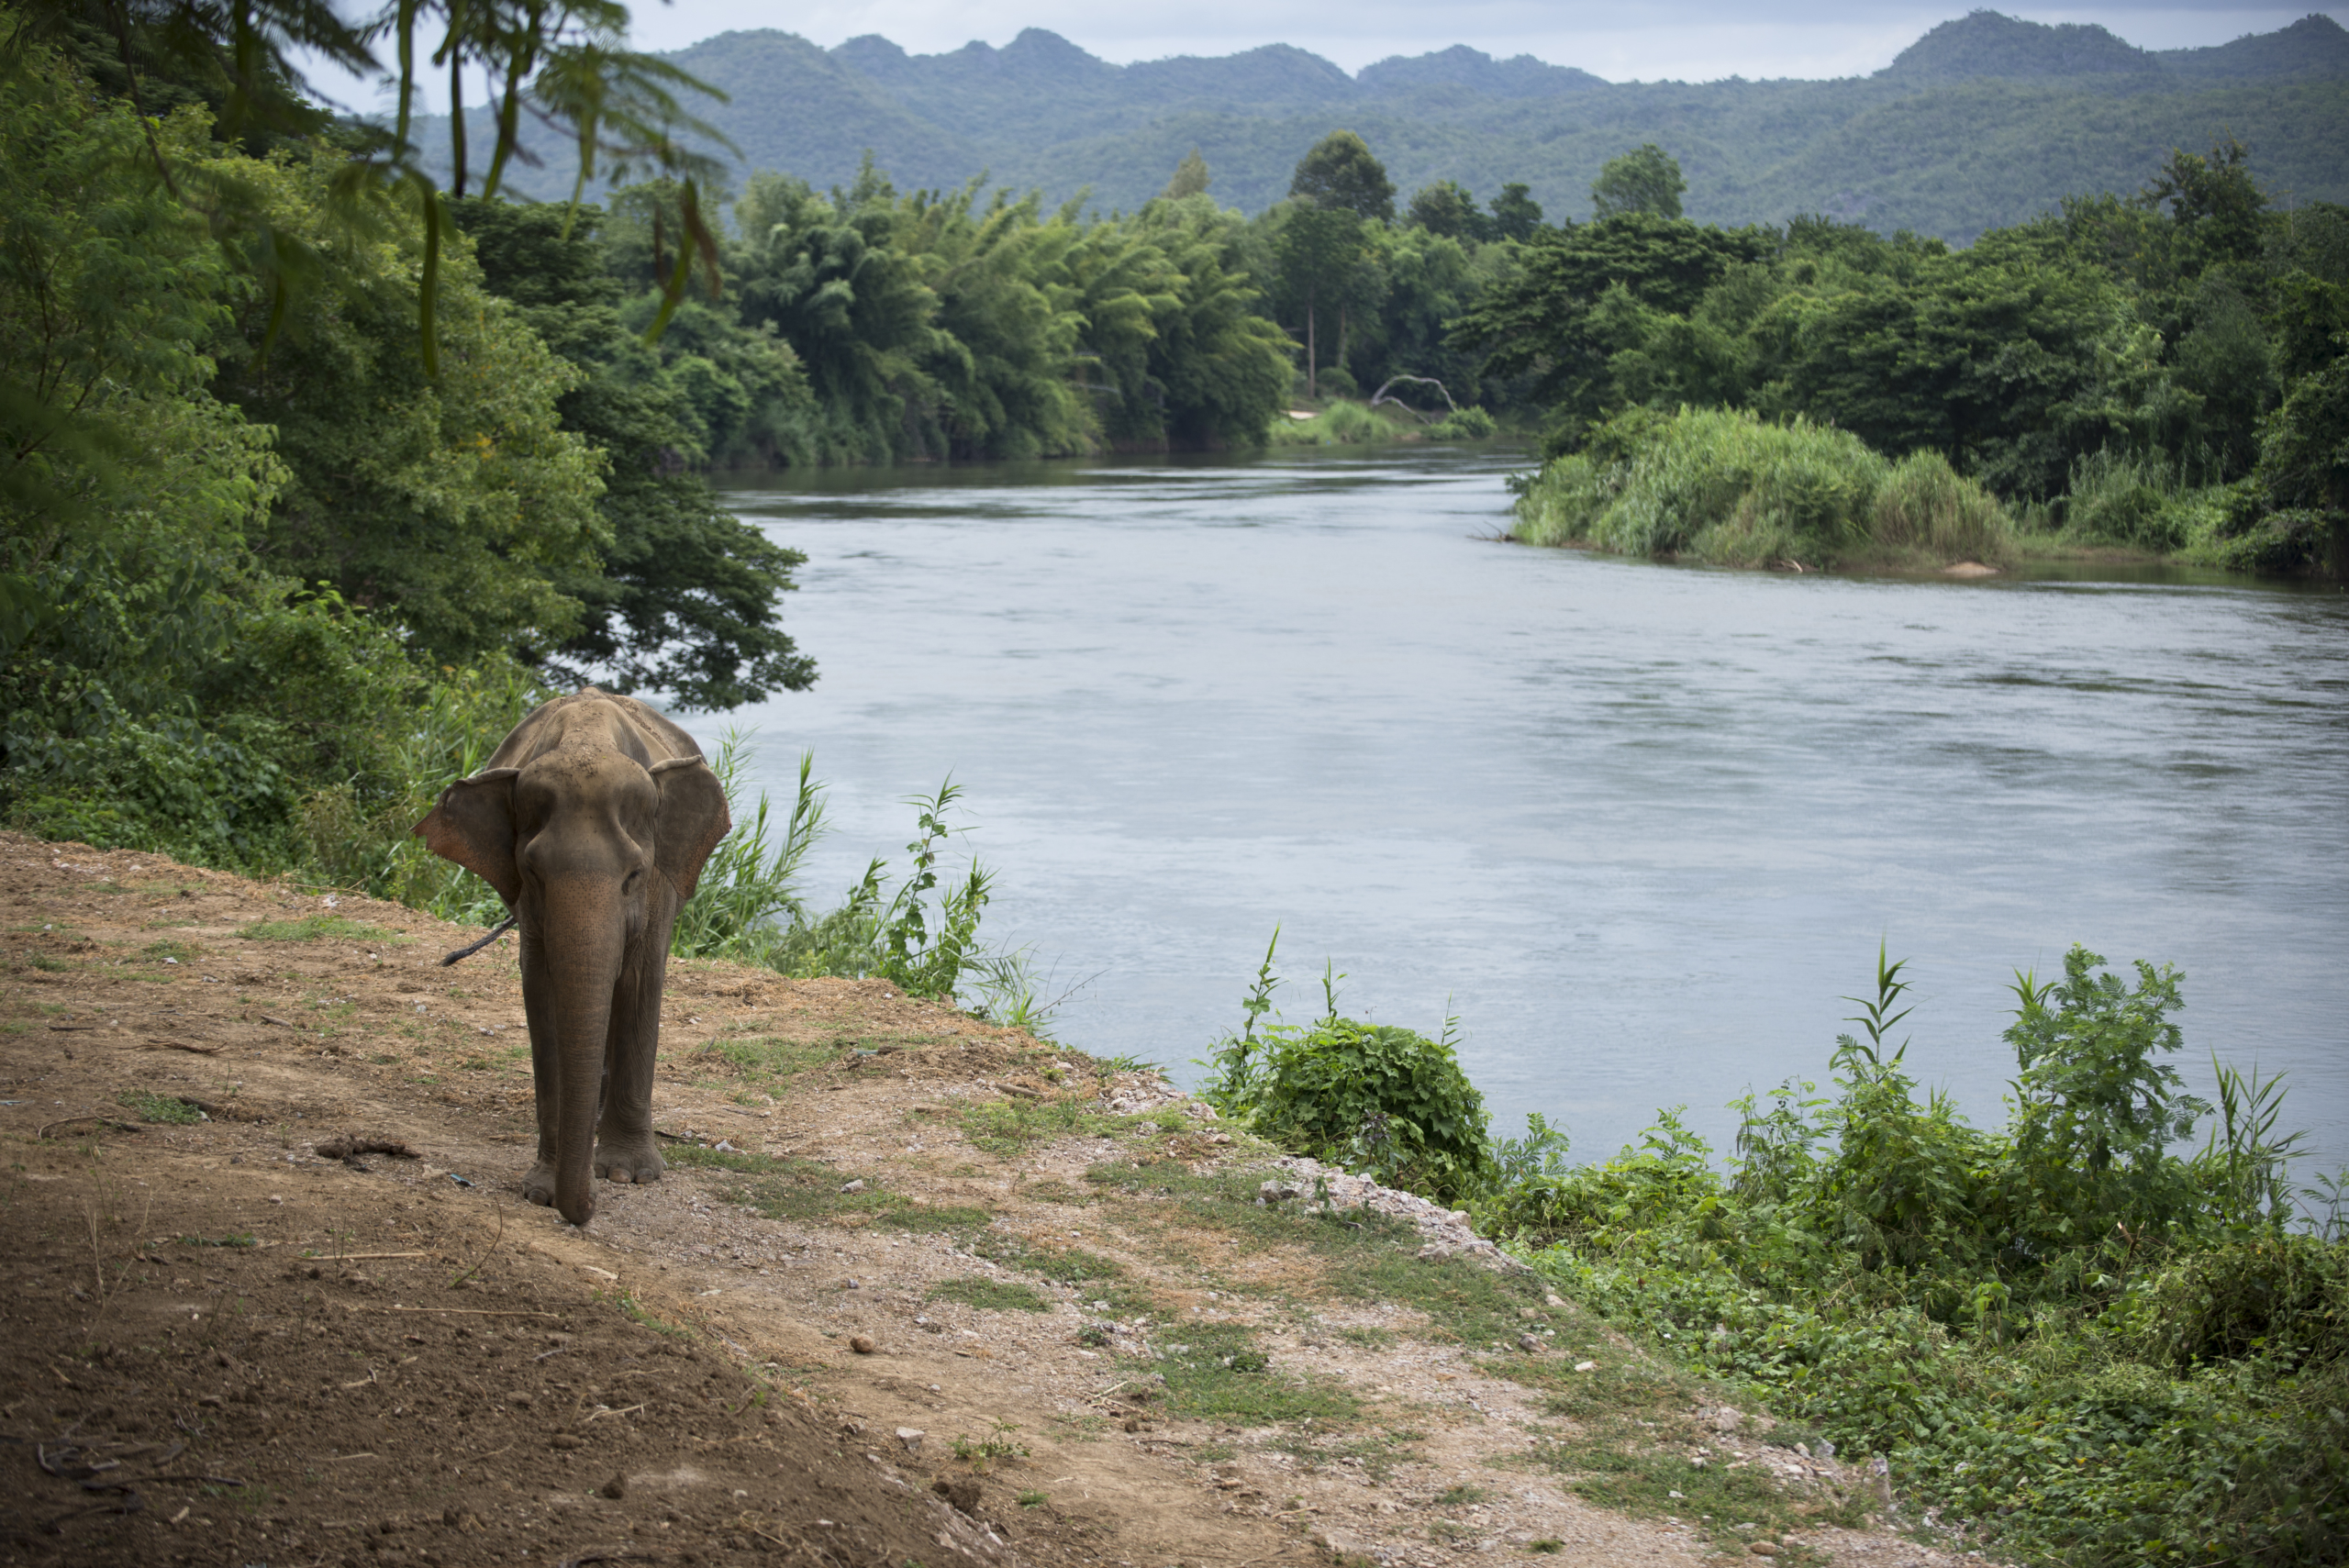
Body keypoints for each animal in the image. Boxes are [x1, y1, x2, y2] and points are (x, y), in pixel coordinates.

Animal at [413, 690, 723, 1220]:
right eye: (533, 872)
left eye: (634, 875)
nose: (587, 1207)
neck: (588, 739)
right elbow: (541, 989)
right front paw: (545, 1191)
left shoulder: (661, 885)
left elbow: (641, 979)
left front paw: (627, 1175)